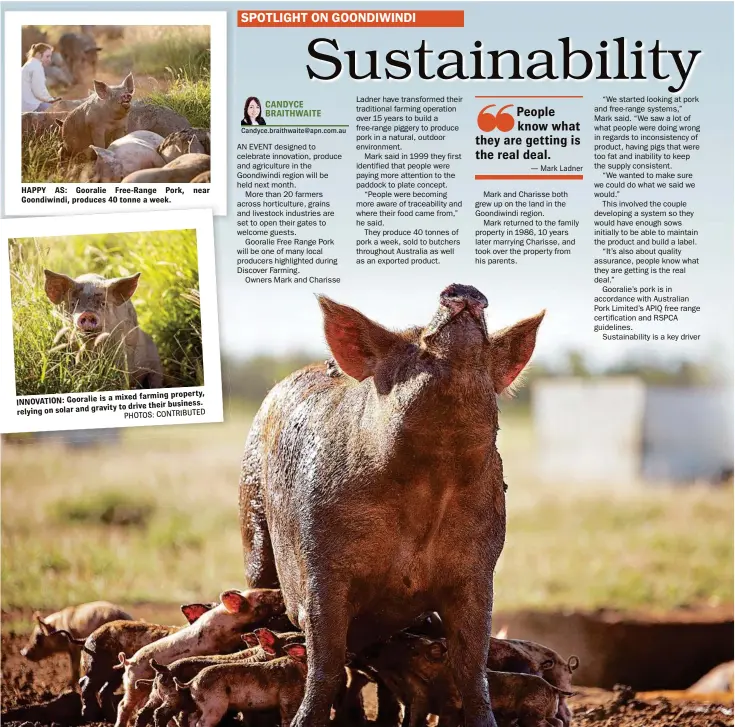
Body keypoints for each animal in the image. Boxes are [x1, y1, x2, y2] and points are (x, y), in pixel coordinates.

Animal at [57, 604, 216, 724]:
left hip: (115, 674)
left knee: (104, 691)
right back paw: (89, 716)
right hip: (98, 666)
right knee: (86, 682)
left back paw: (110, 719)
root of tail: (86, 638)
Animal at [113, 588, 286, 727]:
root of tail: (129, 661)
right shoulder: (223, 639)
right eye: (262, 598)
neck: (227, 618)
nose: (280, 591)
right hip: (134, 683)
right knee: (124, 705)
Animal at [174, 644, 310, 727]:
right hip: (213, 705)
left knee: (193, 719)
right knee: (201, 723)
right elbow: (288, 717)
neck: (300, 669)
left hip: (200, 704)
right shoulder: (289, 696)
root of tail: (192, 681)